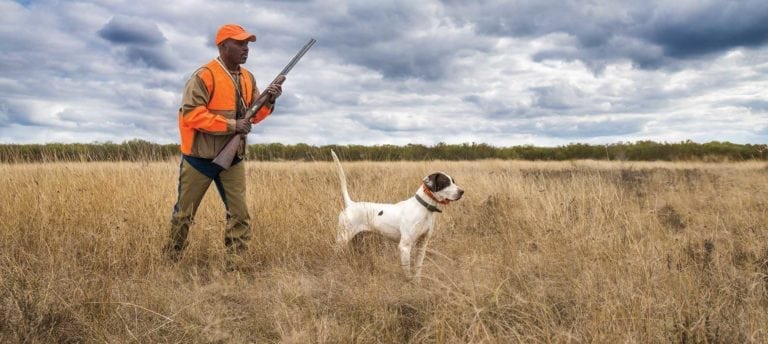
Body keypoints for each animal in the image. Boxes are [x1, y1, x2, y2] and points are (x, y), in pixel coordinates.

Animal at [328, 151, 462, 282]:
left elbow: (417, 268)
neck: (423, 207)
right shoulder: (405, 247)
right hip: (342, 239)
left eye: (453, 181)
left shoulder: (422, 244)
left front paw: (417, 283)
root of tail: (350, 204)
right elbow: (407, 272)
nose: (462, 192)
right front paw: (409, 284)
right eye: (445, 183)